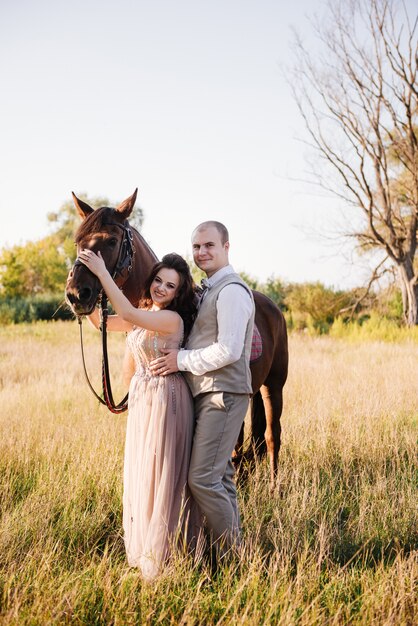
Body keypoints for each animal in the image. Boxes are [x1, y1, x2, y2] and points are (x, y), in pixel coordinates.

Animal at [66, 188, 288, 486]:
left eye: (111, 241)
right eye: (78, 242)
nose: (77, 294)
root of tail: (271, 306)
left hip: (273, 386)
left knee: (271, 437)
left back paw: (276, 488)